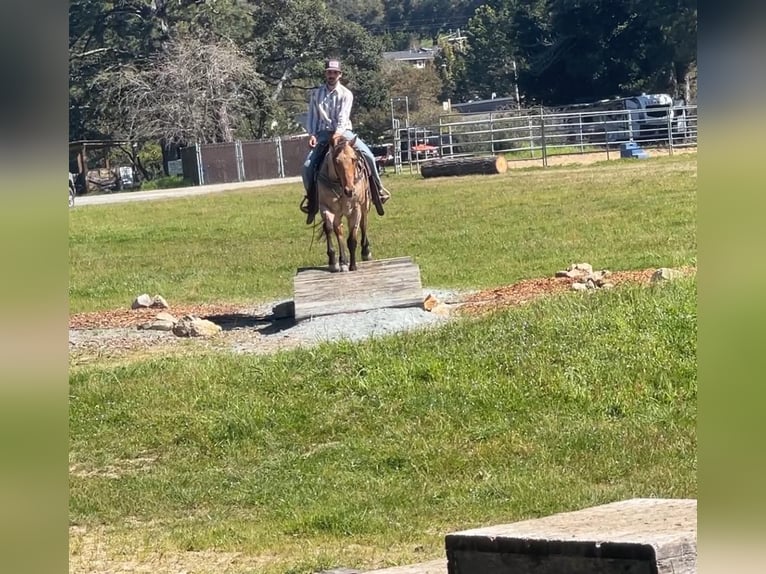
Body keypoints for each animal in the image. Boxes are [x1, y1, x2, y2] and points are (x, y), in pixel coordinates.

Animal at [316, 135, 374, 272]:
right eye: (336, 161)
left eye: (353, 159)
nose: (349, 190)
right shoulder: (326, 208)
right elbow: (329, 229)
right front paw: (334, 261)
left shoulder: (355, 210)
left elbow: (352, 238)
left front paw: (353, 266)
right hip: (338, 214)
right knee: (338, 230)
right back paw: (343, 261)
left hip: (364, 206)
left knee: (363, 224)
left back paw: (365, 251)